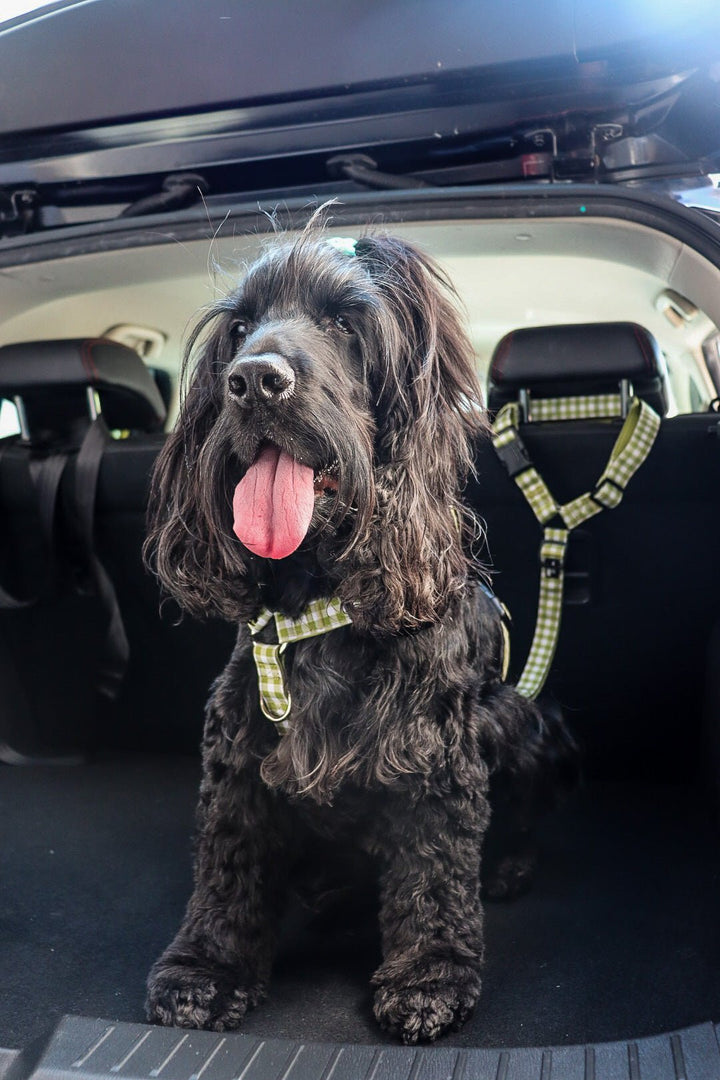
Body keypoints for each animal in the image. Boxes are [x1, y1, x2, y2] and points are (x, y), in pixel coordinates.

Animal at [144, 227, 574, 1045]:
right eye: (239, 329)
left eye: (346, 322)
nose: (255, 381)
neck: (320, 603)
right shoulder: (237, 759)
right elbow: (225, 871)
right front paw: (205, 971)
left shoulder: (436, 759)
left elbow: (435, 875)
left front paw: (429, 978)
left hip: (522, 719)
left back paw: (511, 867)